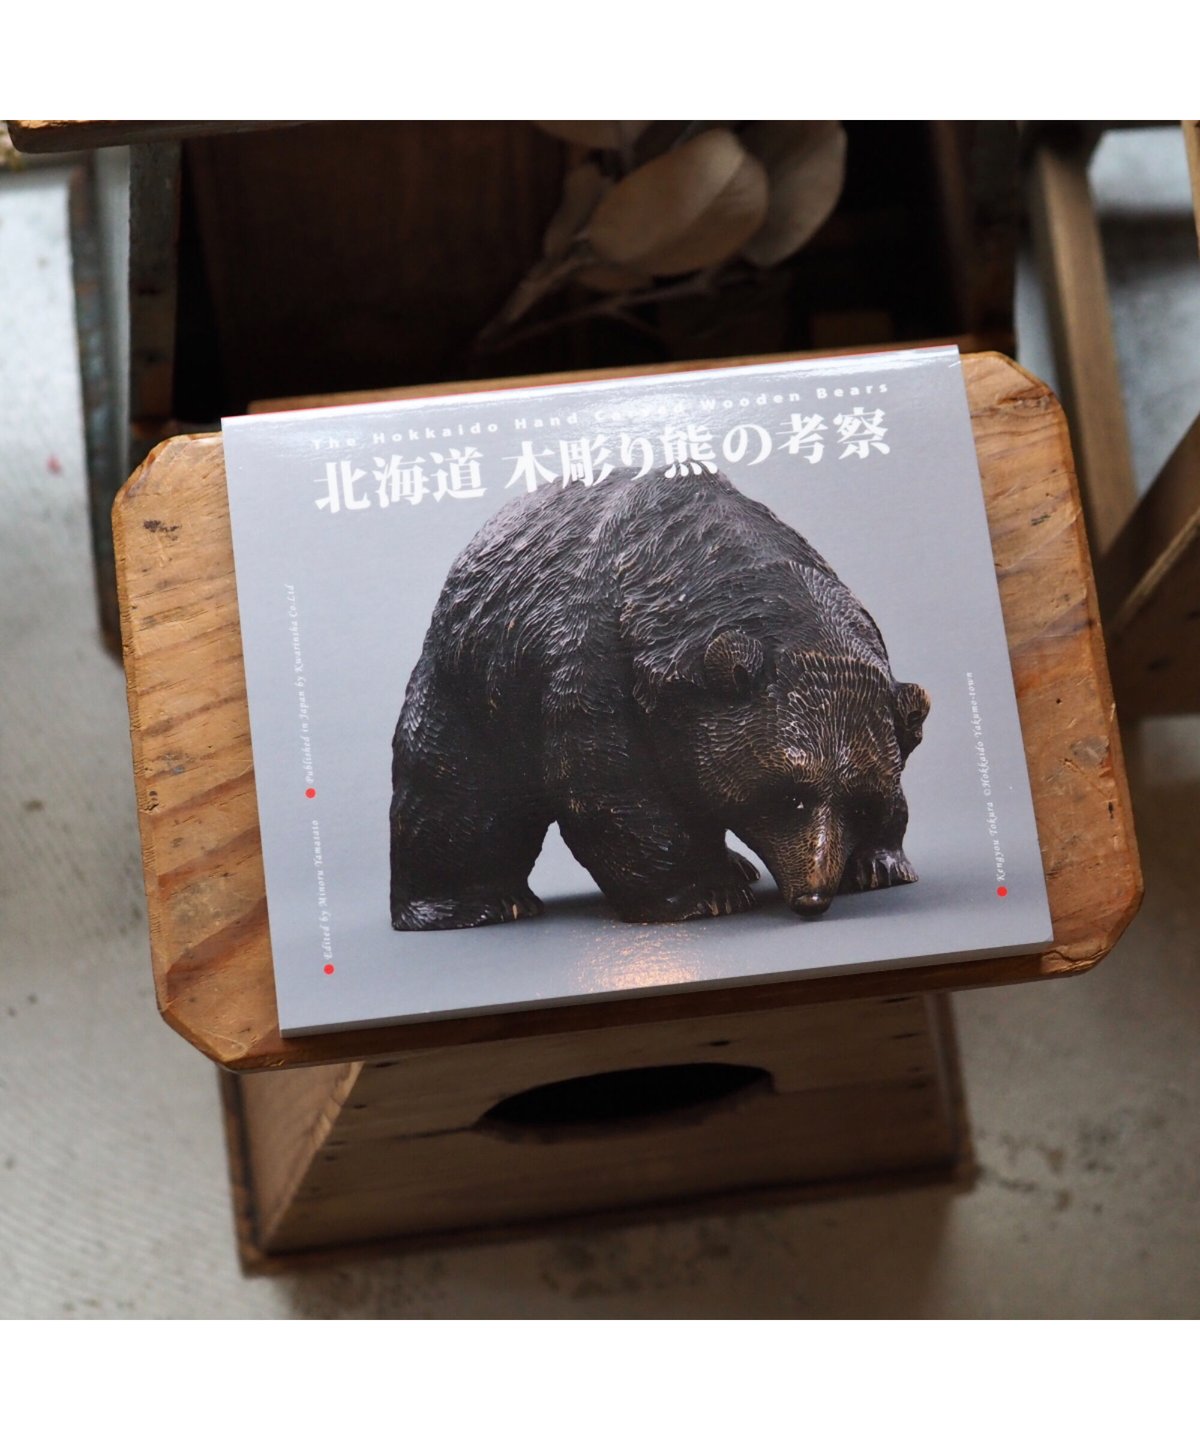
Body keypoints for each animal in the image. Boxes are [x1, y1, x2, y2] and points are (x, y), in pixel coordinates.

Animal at [390, 465, 930, 930]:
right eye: (789, 796)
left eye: (860, 804)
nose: (813, 896)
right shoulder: (597, 659)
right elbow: (610, 787)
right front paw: (702, 894)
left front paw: (879, 864)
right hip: (473, 683)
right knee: (454, 793)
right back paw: (475, 904)